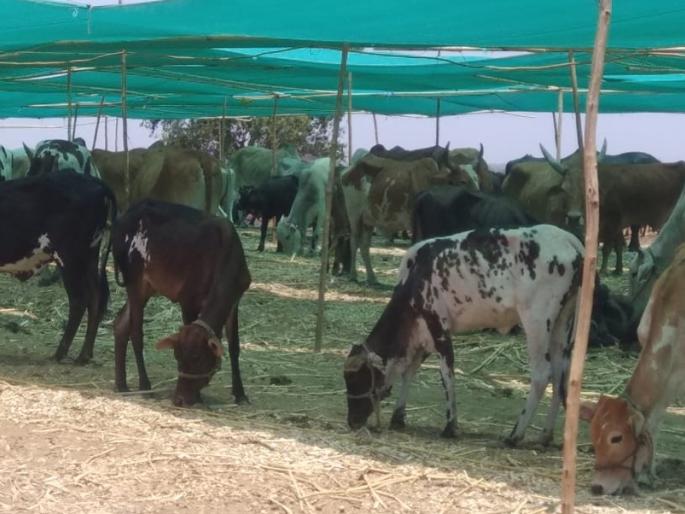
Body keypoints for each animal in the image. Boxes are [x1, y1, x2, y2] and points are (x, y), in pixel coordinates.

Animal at [0, 171, 115, 362]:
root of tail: (93, 180)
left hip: (69, 258)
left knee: (79, 300)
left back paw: (60, 353)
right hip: (90, 256)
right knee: (97, 297)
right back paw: (84, 355)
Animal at [111, 200, 250, 407]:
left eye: (197, 358)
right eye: (177, 357)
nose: (179, 399)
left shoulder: (235, 300)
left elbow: (234, 346)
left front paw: (240, 393)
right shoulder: (188, 298)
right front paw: (199, 397)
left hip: (149, 287)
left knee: (121, 323)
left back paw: (121, 385)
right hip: (135, 281)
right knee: (136, 333)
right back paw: (144, 385)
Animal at [341, 153, 474, 285]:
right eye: (462, 181)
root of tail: (349, 170)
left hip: (368, 221)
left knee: (364, 246)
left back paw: (372, 278)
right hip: (354, 215)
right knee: (354, 241)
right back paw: (353, 275)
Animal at [344, 225, 583, 445]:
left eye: (356, 379)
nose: (352, 422)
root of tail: (569, 239)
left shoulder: (438, 328)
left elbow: (446, 375)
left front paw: (450, 426)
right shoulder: (423, 336)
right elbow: (410, 372)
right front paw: (398, 416)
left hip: (537, 321)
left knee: (542, 373)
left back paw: (515, 435)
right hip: (562, 324)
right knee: (560, 374)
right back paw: (545, 436)